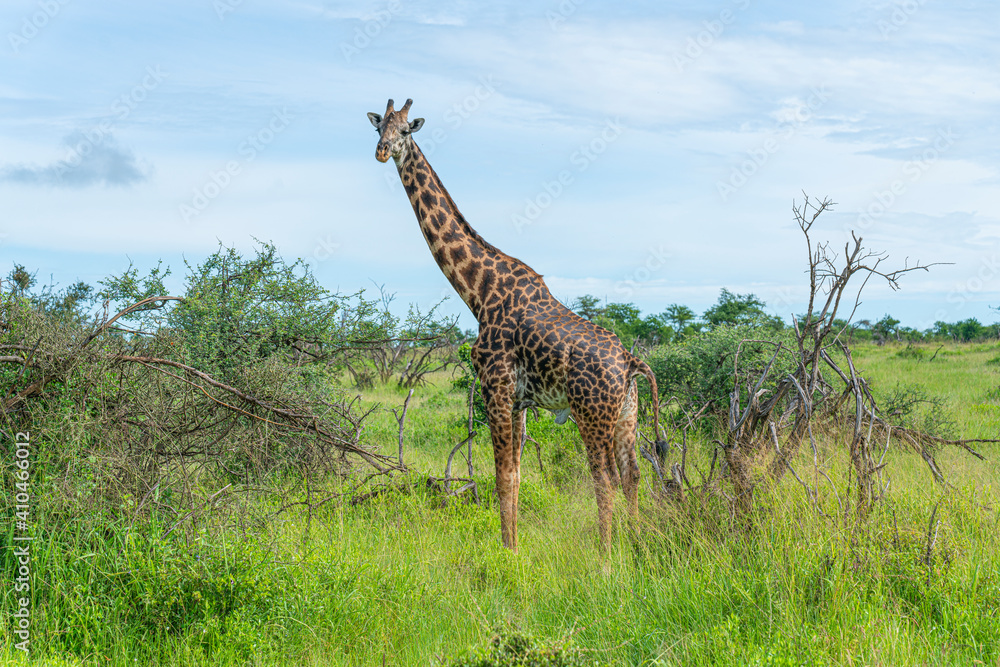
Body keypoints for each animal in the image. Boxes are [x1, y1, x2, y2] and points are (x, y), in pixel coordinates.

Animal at [368, 98, 666, 552]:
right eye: (378, 127)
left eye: (406, 131)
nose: (383, 151)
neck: (477, 291)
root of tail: (632, 362)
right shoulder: (520, 400)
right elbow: (518, 476)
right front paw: (513, 546)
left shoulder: (496, 386)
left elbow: (502, 477)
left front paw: (508, 552)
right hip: (627, 417)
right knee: (632, 474)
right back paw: (634, 544)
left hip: (591, 414)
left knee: (606, 479)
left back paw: (605, 555)